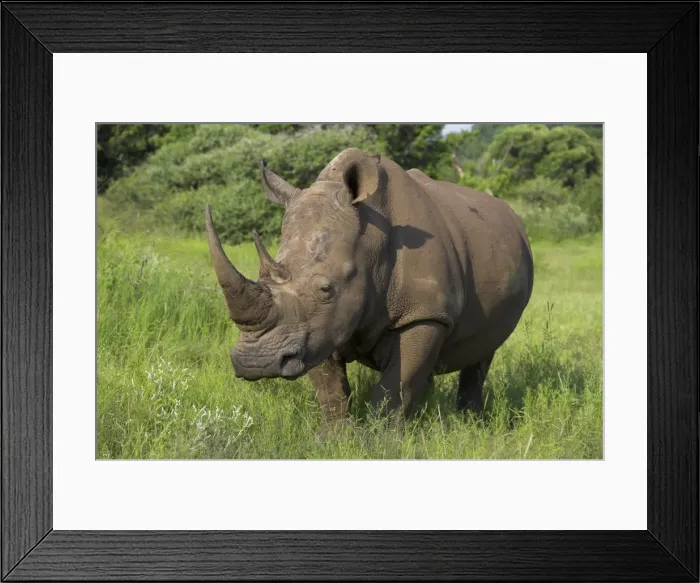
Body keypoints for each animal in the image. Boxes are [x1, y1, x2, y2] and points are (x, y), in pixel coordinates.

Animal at [205, 148, 534, 421]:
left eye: (326, 289)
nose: (256, 362)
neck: (370, 243)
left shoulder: (422, 314)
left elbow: (394, 389)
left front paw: (380, 444)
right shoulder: (313, 329)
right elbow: (330, 391)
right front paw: (333, 442)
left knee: (483, 351)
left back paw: (470, 422)